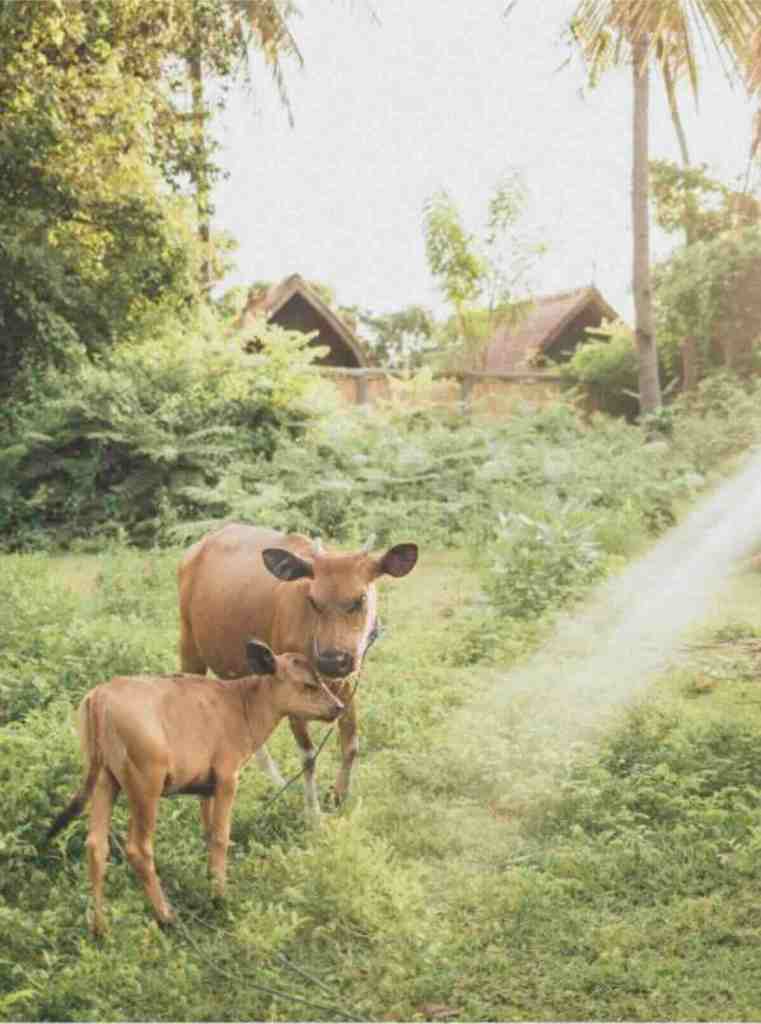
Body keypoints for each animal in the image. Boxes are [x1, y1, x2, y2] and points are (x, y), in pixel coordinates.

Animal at [47, 640, 344, 935]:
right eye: (308, 684)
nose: (339, 706)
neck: (242, 704)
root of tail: (99, 696)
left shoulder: (206, 789)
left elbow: (208, 834)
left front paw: (210, 880)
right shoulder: (227, 778)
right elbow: (222, 836)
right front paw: (220, 897)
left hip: (104, 781)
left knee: (96, 846)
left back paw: (100, 928)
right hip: (145, 787)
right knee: (138, 848)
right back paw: (166, 916)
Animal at [177, 524, 418, 816]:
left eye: (360, 599)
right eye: (313, 600)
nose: (332, 660)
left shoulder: (348, 682)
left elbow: (351, 745)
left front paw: (338, 797)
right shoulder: (289, 688)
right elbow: (309, 756)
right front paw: (313, 814)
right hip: (189, 646)